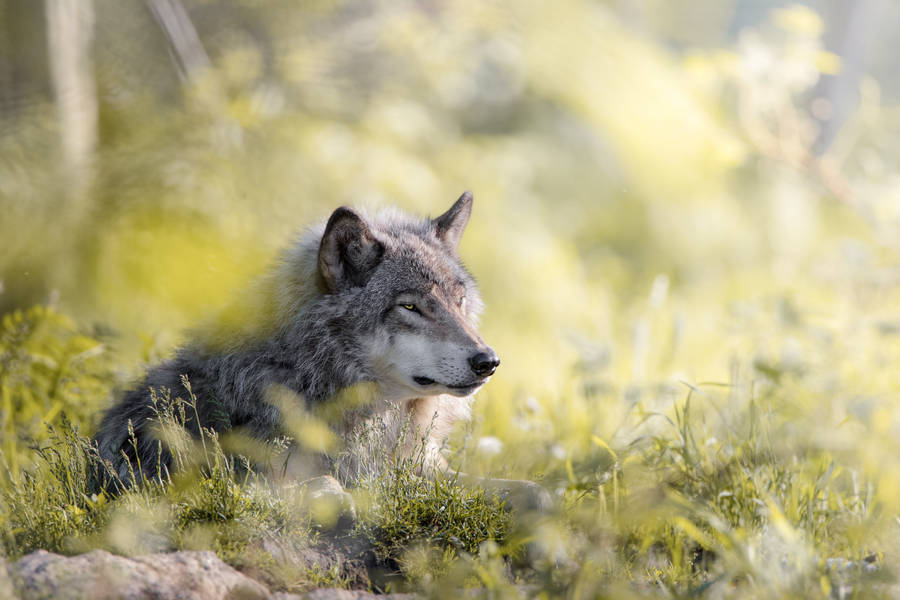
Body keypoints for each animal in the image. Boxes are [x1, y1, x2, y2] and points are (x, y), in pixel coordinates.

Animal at [95, 192, 549, 511]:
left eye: (458, 301)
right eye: (409, 307)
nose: (488, 362)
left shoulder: (425, 470)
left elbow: (535, 491)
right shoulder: (227, 479)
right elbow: (320, 485)